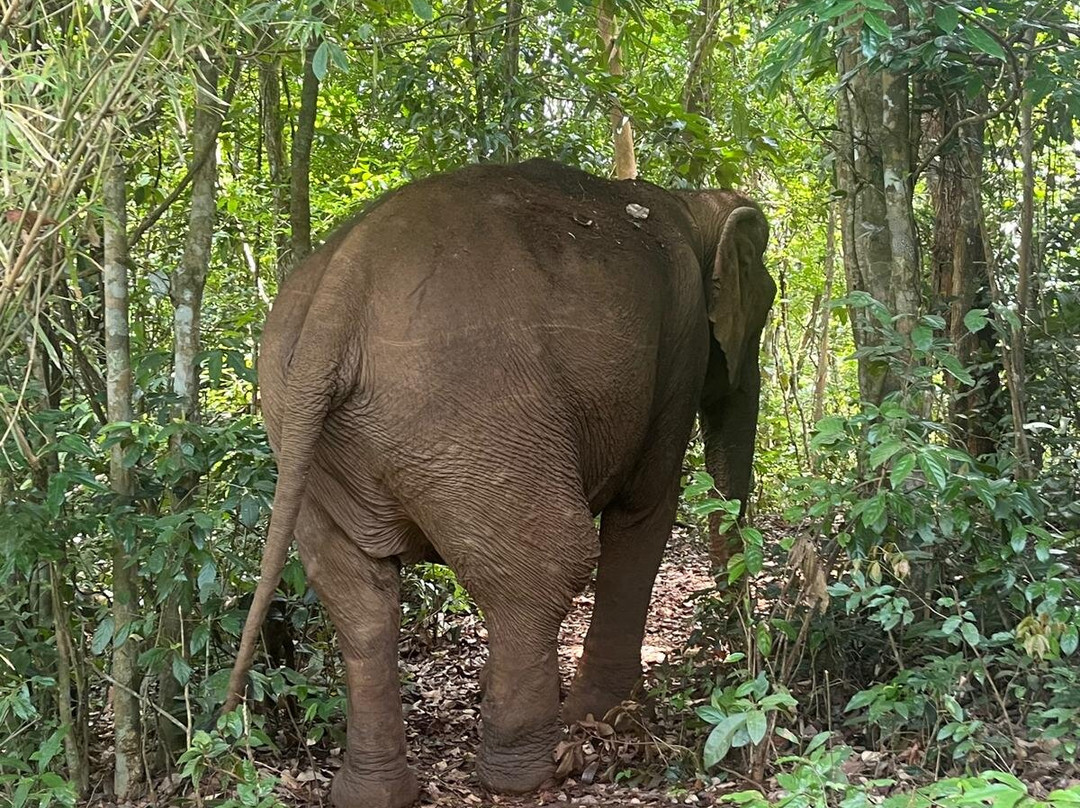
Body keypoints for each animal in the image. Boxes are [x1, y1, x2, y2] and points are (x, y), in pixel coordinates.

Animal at [222, 158, 775, 808]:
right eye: (765, 306)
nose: (743, 645)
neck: (691, 205)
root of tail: (339, 293)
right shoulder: (679, 345)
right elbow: (645, 507)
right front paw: (612, 715)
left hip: (305, 429)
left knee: (357, 596)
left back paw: (372, 792)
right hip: (472, 409)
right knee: (546, 563)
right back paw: (529, 774)